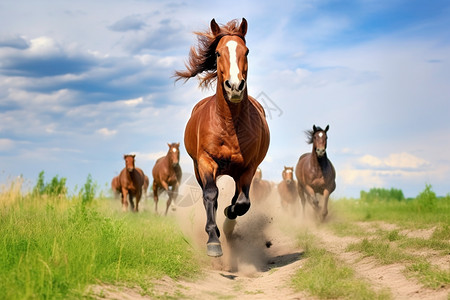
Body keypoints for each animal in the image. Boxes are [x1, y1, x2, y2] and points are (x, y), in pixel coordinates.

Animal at [174, 18, 268, 255]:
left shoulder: (248, 168)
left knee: (237, 198)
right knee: (209, 196)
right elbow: (210, 195)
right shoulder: (206, 162)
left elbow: (242, 203)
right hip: (200, 169)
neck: (229, 126)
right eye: (217, 53)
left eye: (247, 51)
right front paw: (213, 241)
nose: (235, 86)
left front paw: (228, 221)